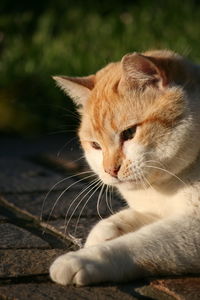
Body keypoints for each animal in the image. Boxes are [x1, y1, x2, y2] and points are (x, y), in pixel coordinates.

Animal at [49, 49, 200, 286]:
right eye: (95, 145)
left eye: (129, 133)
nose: (111, 170)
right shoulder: (156, 210)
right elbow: (117, 220)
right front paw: (98, 237)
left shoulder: (193, 228)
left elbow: (142, 242)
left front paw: (82, 259)